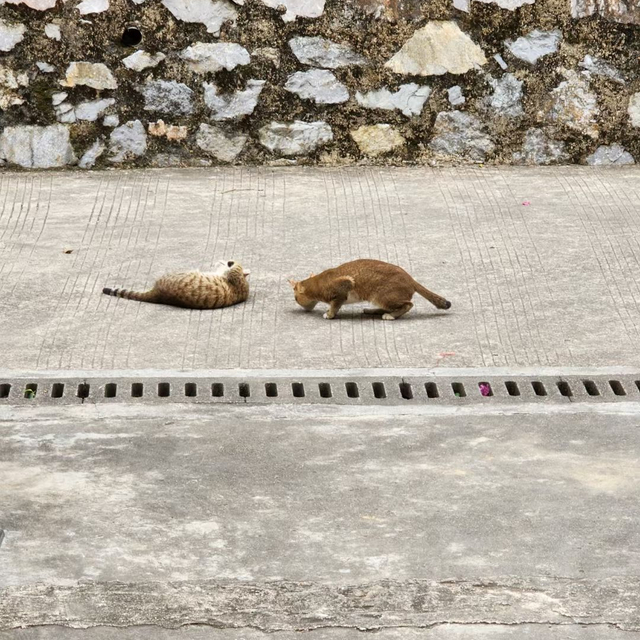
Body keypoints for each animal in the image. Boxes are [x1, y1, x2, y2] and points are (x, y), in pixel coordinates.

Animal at [290, 258, 450, 320]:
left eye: (295, 298)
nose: (298, 304)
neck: (320, 281)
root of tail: (410, 278)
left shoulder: (344, 285)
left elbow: (335, 305)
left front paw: (329, 314)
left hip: (383, 296)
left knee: (408, 304)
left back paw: (390, 316)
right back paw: (371, 311)